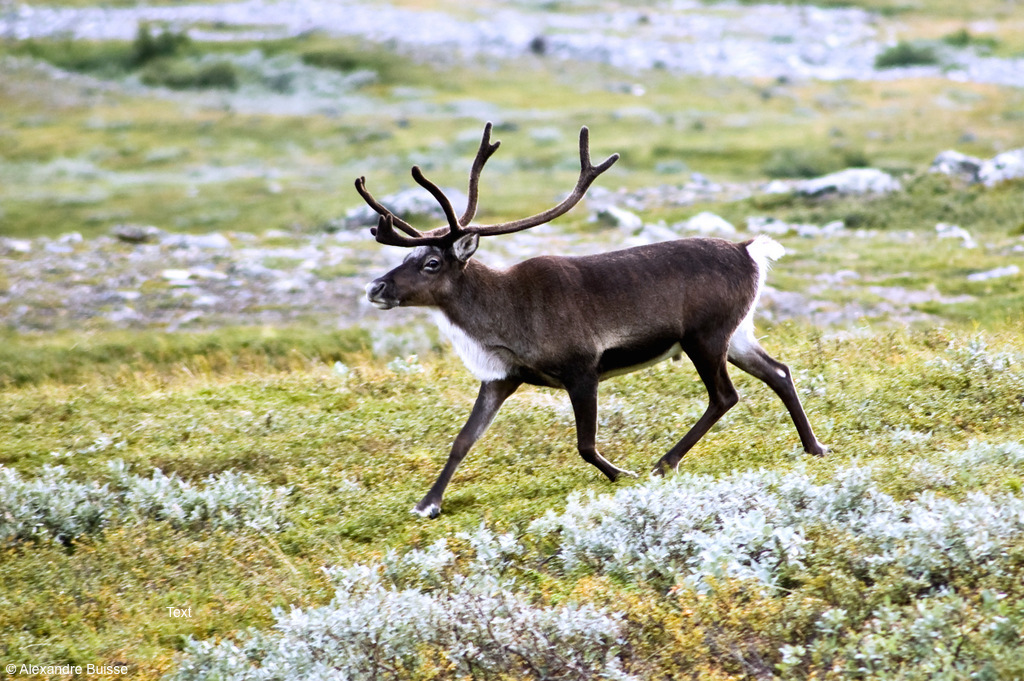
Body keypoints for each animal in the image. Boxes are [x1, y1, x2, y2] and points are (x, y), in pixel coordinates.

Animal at [359, 122, 827, 518]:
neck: (502, 317)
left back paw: (664, 462)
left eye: (432, 263)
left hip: (705, 336)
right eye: (409, 257)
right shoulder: (502, 377)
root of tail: (750, 251)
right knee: (779, 372)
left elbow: (585, 444)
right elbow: (462, 440)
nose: (376, 288)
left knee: (724, 396)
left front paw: (624, 474)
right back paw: (814, 447)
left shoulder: (582, 367)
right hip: (737, 334)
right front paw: (427, 503)